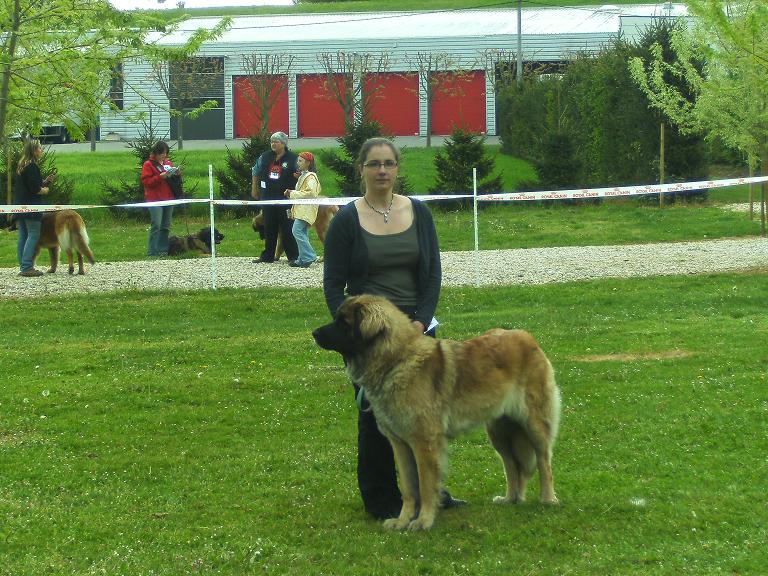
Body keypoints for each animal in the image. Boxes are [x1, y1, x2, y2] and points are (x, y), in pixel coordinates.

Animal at [312, 296, 560, 532]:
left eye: (343, 322)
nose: (314, 333)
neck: (396, 361)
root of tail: (526, 337)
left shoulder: (424, 442)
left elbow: (424, 486)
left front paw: (423, 521)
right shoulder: (400, 444)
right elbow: (409, 488)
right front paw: (402, 521)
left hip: (534, 424)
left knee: (543, 460)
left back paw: (548, 499)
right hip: (499, 431)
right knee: (511, 464)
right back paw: (510, 498)